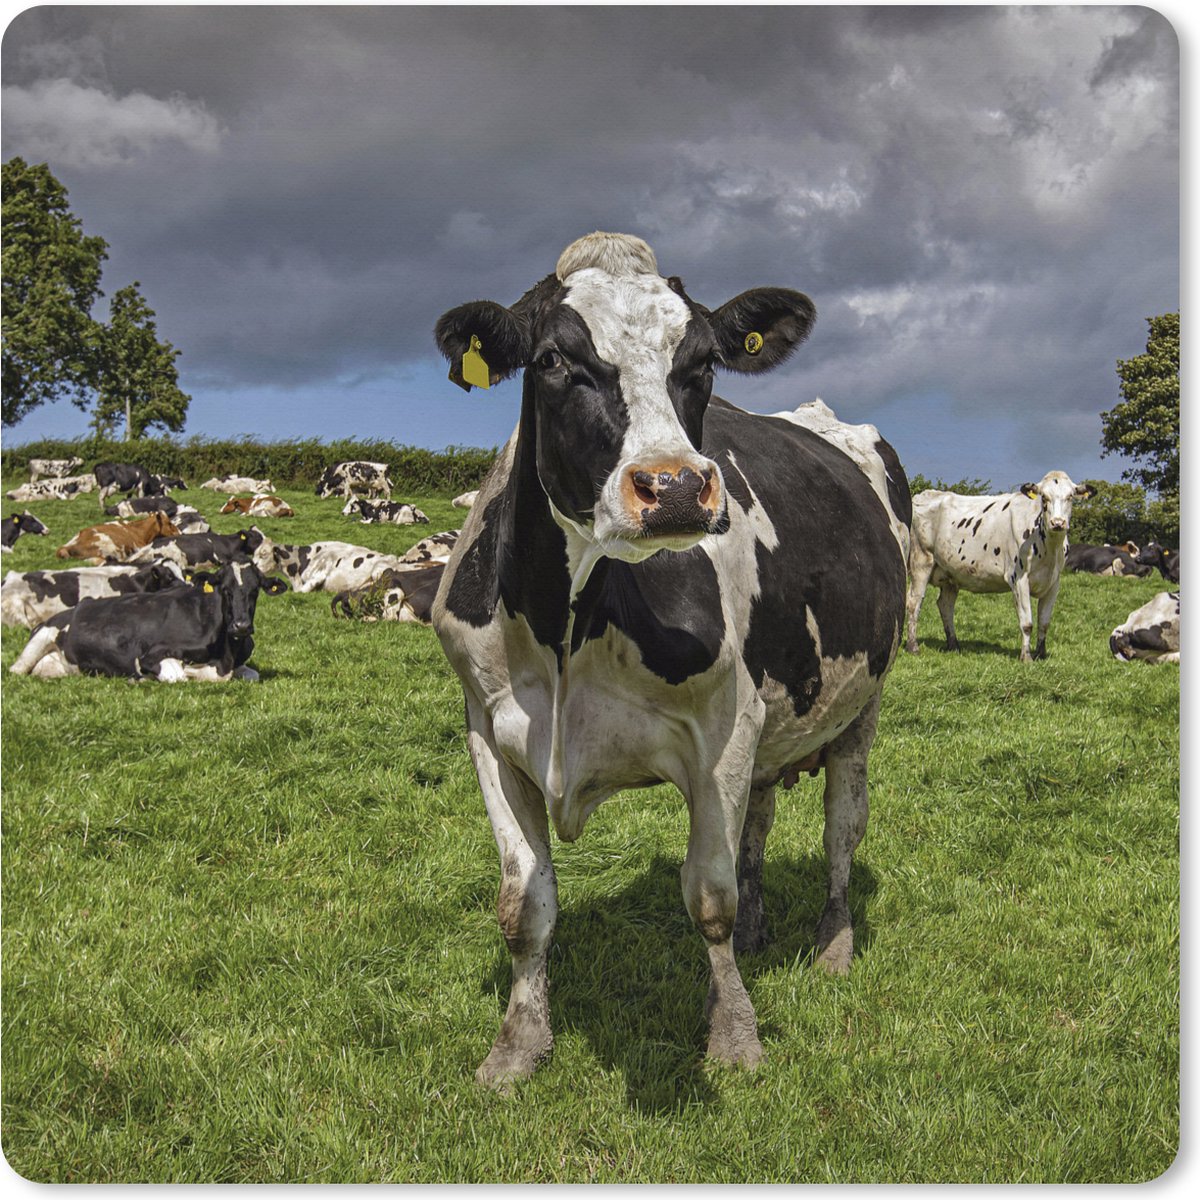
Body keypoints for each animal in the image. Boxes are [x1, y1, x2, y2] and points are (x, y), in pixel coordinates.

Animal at [429, 231, 911, 1086]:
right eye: (554, 360)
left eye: (703, 363)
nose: (677, 487)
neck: (567, 625)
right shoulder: (490, 730)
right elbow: (524, 906)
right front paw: (516, 1047)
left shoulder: (722, 728)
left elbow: (708, 898)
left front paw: (735, 1036)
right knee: (759, 818)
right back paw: (759, 935)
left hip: (863, 704)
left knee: (842, 827)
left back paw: (834, 943)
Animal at [906, 472, 1095, 662]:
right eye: (1044, 497)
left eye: (1070, 497)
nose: (1057, 523)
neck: (1049, 548)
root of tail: (923, 494)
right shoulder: (1018, 579)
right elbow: (1027, 623)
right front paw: (1026, 657)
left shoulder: (1054, 583)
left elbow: (1044, 623)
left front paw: (1041, 655)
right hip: (921, 561)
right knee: (914, 602)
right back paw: (913, 647)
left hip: (951, 574)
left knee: (945, 605)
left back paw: (954, 645)